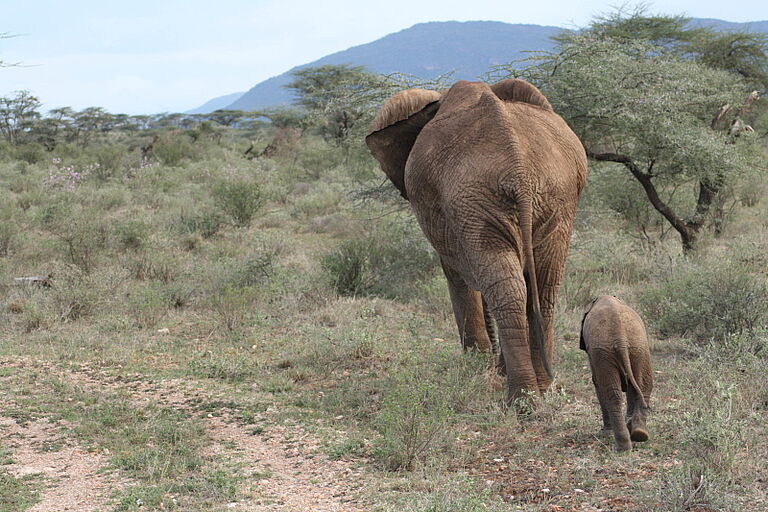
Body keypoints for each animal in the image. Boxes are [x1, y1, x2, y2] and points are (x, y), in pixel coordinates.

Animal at [368, 79, 588, 400]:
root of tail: (519, 171)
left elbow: (456, 275)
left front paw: (475, 363)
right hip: (547, 197)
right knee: (538, 286)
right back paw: (539, 390)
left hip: (483, 200)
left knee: (509, 285)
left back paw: (521, 398)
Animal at [584, 294, 656, 450]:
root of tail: (620, 338)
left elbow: (597, 382)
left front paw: (605, 433)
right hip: (638, 347)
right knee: (643, 385)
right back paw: (639, 434)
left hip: (605, 352)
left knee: (611, 393)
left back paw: (622, 446)